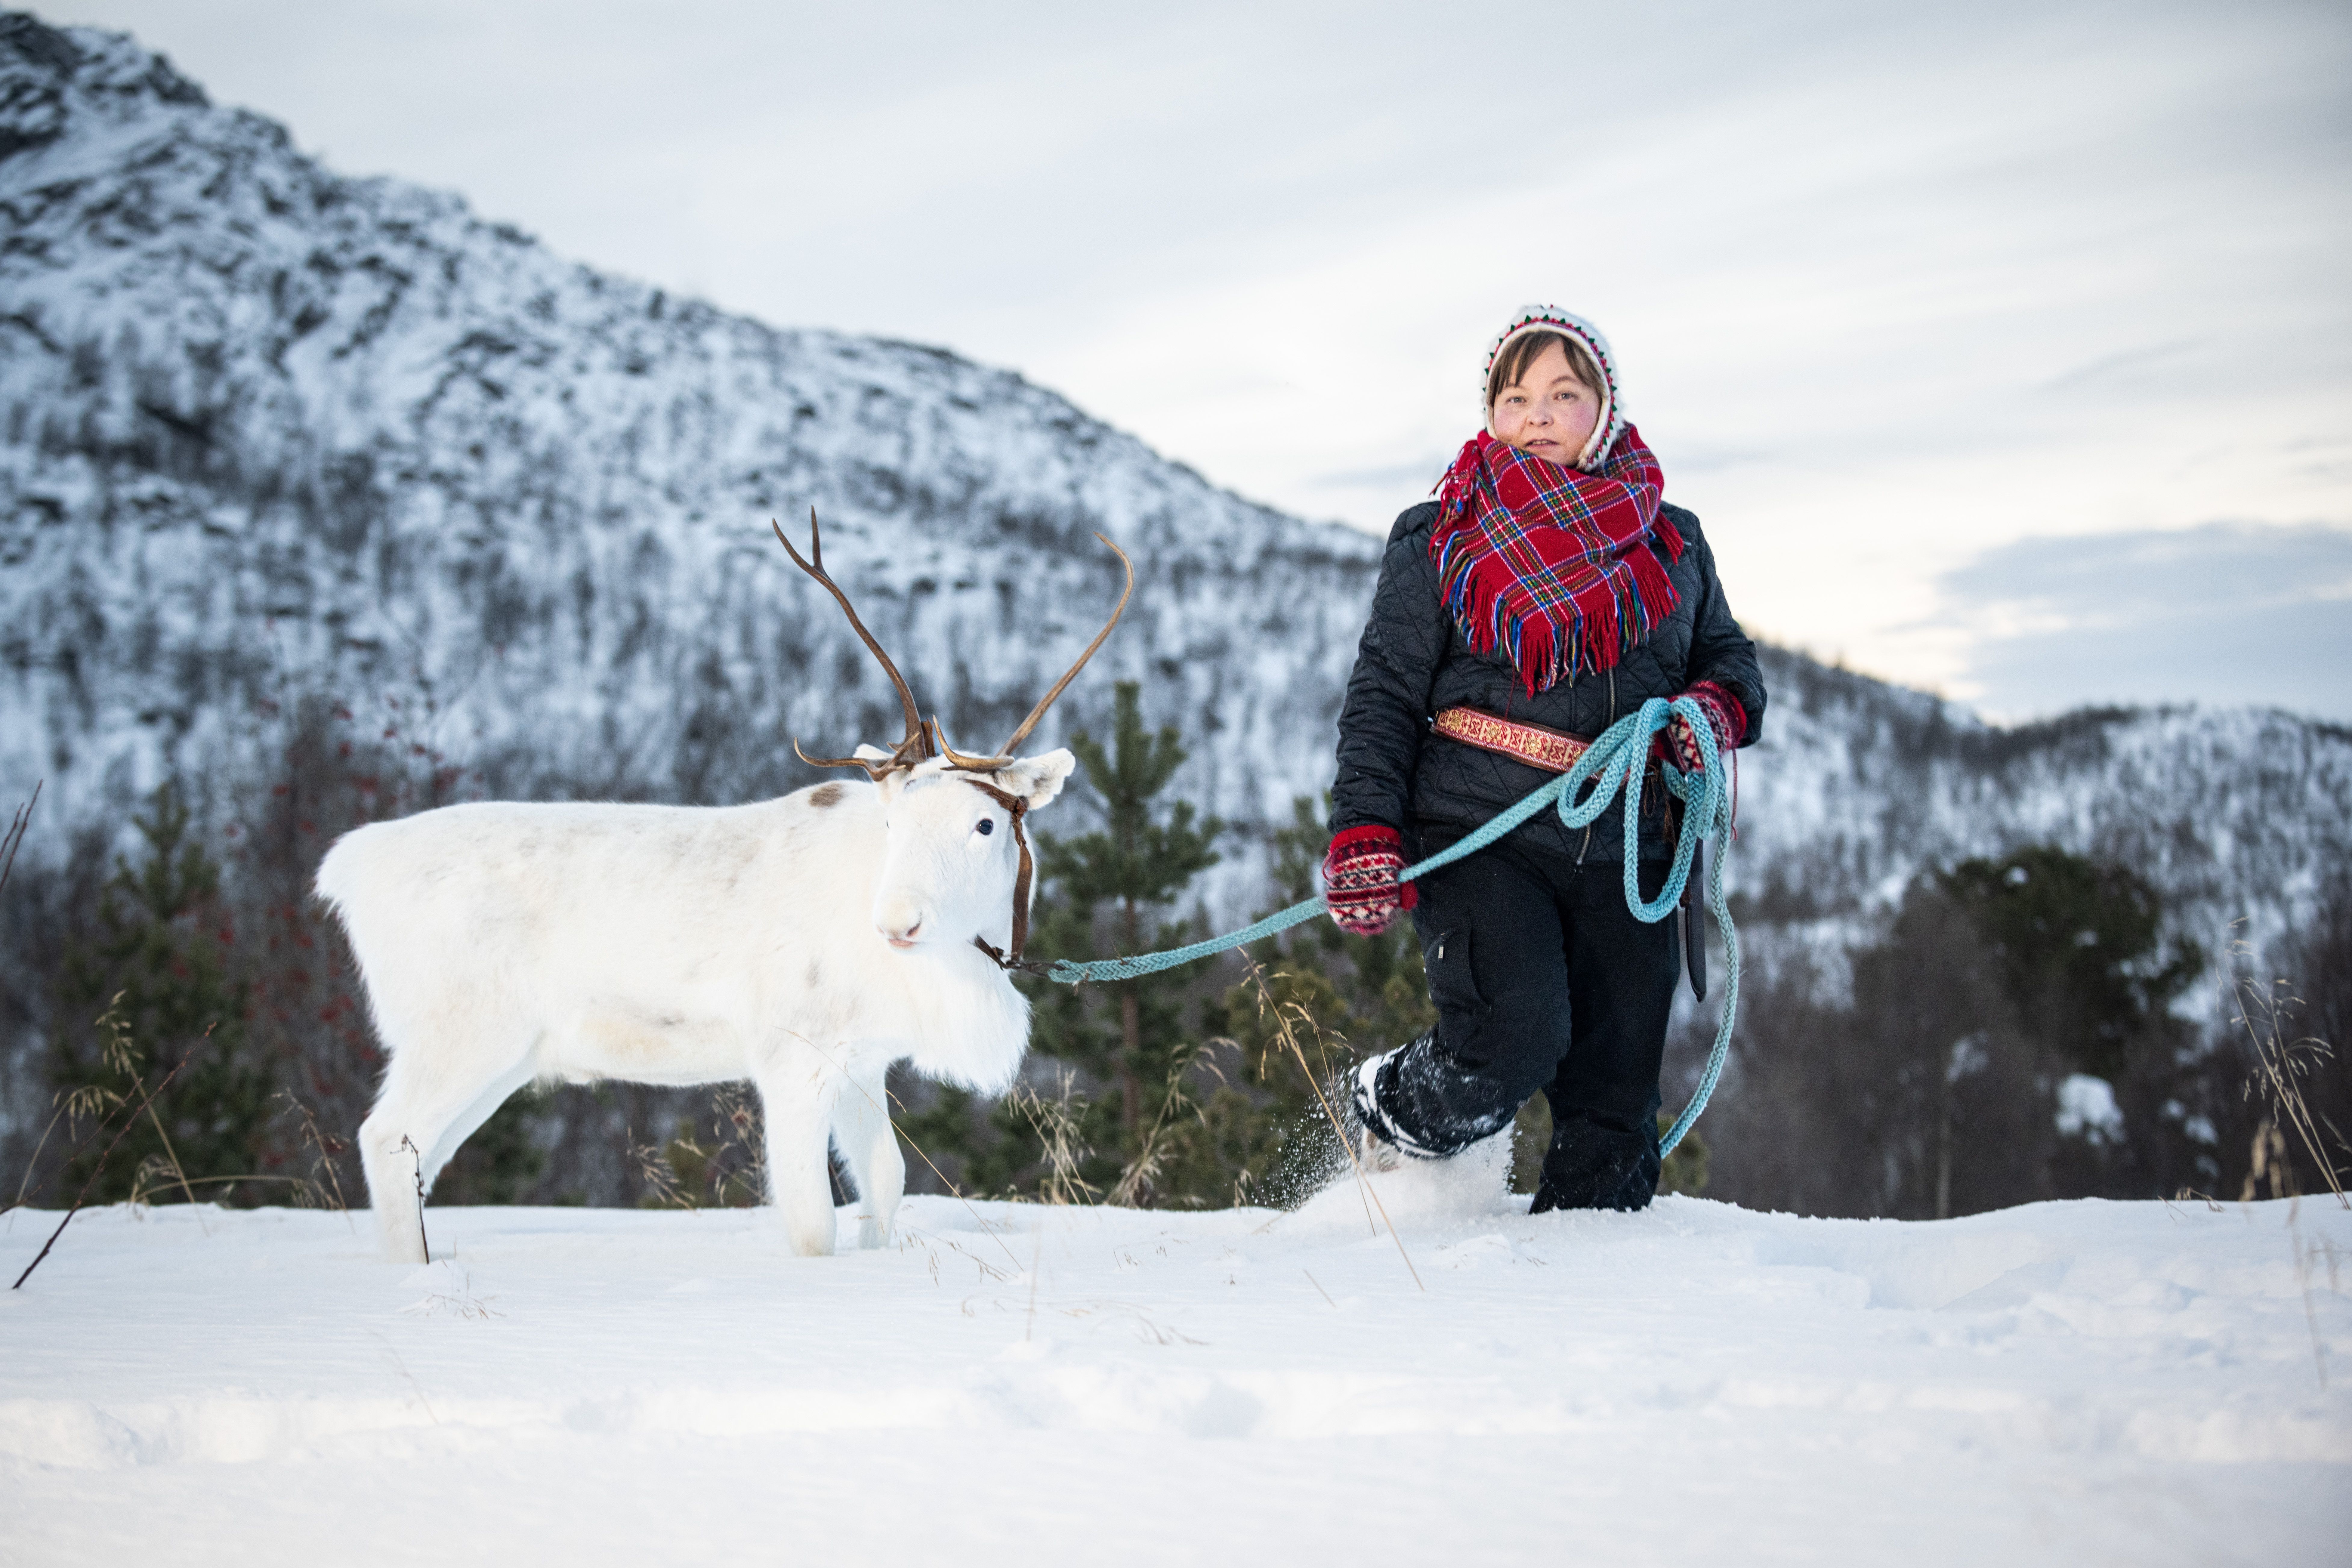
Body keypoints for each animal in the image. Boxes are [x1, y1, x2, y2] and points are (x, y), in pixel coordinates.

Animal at [315, 513, 1132, 1263]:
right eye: (893, 820)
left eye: (985, 823)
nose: (898, 923)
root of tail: (347, 866)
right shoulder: (790, 1055)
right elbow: (812, 1223)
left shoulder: (863, 1059)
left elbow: (886, 1182)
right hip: (458, 1033)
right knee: (385, 1136)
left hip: (503, 1056)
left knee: (420, 1156)